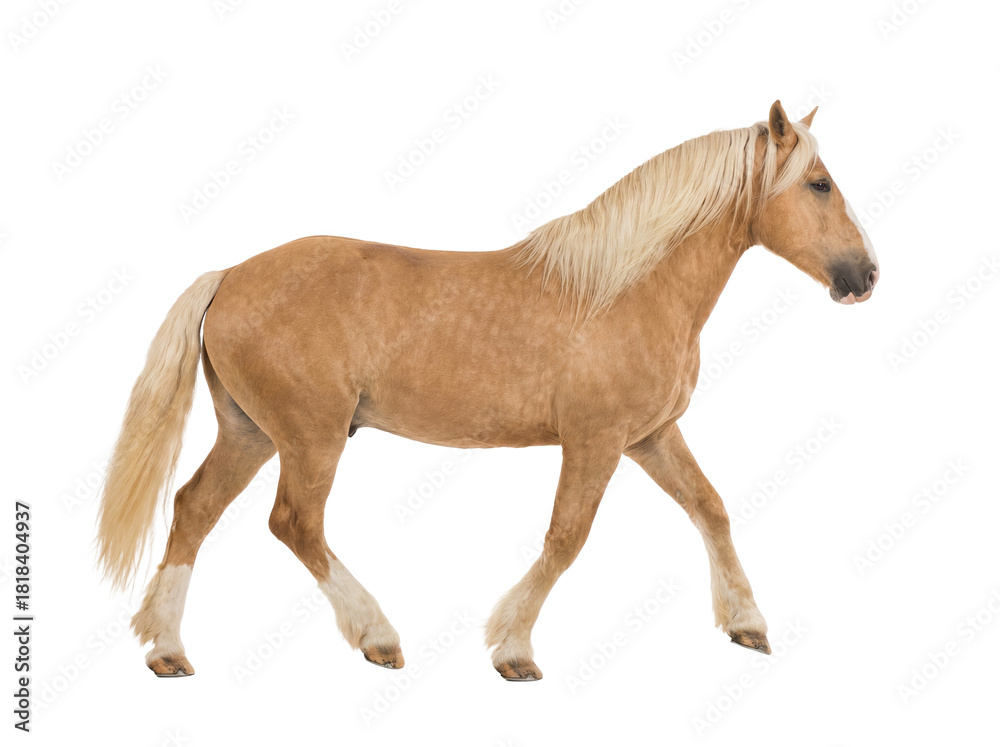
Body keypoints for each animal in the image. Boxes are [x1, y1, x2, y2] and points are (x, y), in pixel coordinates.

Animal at [97, 100, 878, 681]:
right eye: (818, 183)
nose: (865, 275)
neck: (624, 288)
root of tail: (229, 275)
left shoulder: (651, 437)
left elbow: (710, 508)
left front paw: (747, 624)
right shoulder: (594, 442)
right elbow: (566, 537)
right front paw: (514, 649)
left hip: (251, 432)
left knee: (194, 508)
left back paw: (167, 650)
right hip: (310, 436)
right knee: (294, 523)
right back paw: (378, 636)